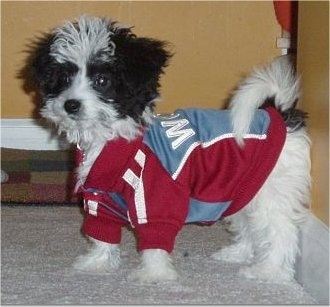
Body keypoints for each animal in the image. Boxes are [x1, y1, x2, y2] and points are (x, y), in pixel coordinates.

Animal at [27, 15, 310, 284]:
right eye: (64, 78)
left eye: (102, 80)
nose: (70, 104)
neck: (117, 140)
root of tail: (280, 115)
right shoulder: (100, 198)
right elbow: (102, 231)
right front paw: (98, 263)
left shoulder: (156, 196)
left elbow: (155, 235)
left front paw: (154, 274)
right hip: (243, 187)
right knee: (249, 222)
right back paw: (238, 253)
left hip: (273, 189)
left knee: (280, 229)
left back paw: (269, 271)